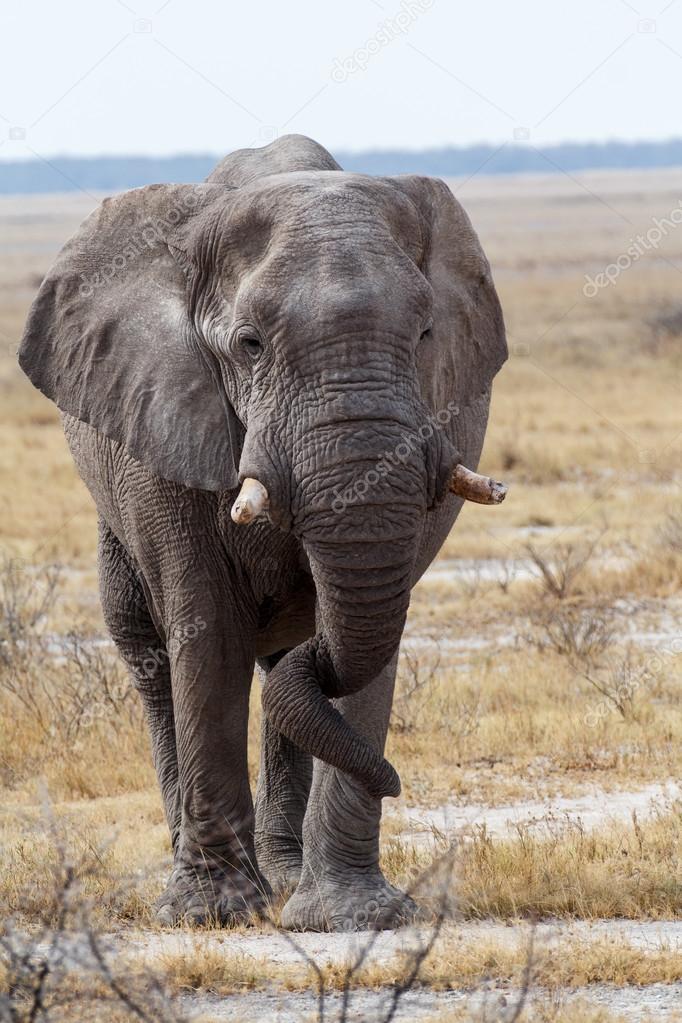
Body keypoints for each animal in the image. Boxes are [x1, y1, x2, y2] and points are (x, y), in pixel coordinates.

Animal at [18, 131, 507, 932]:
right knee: (150, 650)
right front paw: (210, 913)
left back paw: (284, 874)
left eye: (426, 333)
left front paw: (352, 917)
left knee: (285, 661)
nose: (399, 780)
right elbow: (207, 626)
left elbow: (362, 644)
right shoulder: (166, 416)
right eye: (248, 343)